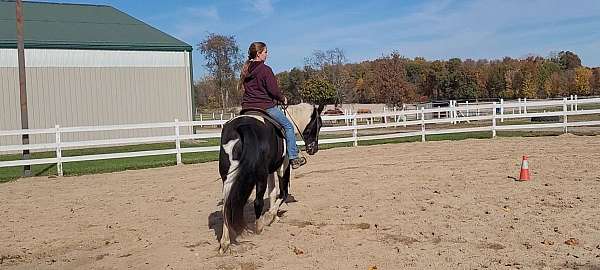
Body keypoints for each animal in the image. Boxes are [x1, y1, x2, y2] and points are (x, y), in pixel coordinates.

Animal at [219, 103, 326, 253]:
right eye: (319, 124)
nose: (313, 149)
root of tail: (242, 127)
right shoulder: (282, 168)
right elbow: (283, 193)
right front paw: (270, 217)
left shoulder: (270, 171)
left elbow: (272, 193)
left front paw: (274, 217)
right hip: (260, 176)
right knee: (257, 201)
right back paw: (259, 226)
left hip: (228, 178)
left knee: (226, 205)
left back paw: (225, 242)